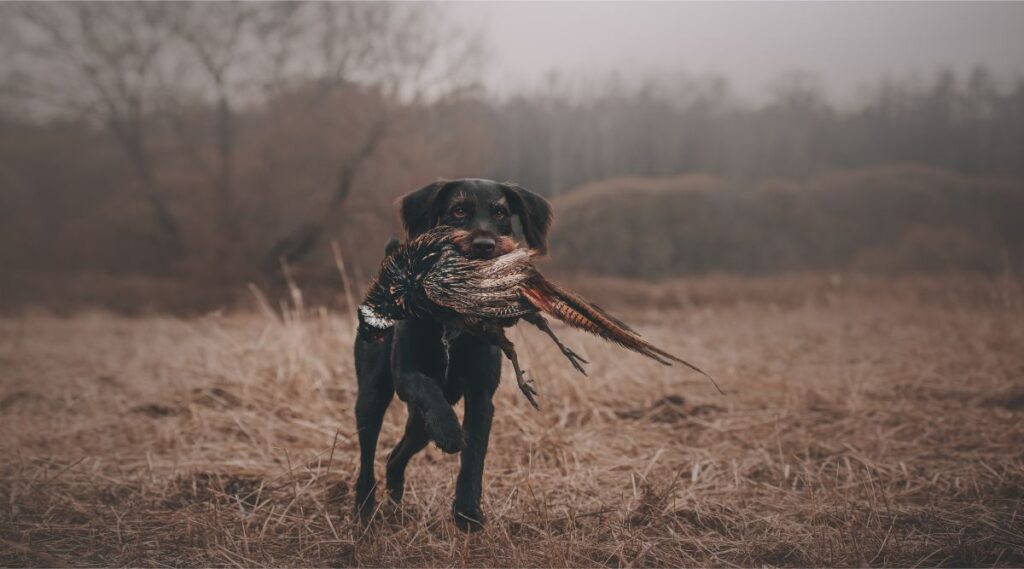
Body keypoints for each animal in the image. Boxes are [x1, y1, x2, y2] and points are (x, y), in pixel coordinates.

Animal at [356, 179, 557, 532]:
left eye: (500, 212)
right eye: (459, 210)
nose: (485, 245)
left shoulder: (481, 397)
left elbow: (474, 454)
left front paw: (467, 512)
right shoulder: (406, 376)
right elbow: (426, 387)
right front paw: (450, 431)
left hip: (419, 425)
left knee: (395, 456)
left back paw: (395, 495)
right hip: (372, 395)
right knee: (368, 456)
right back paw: (365, 506)